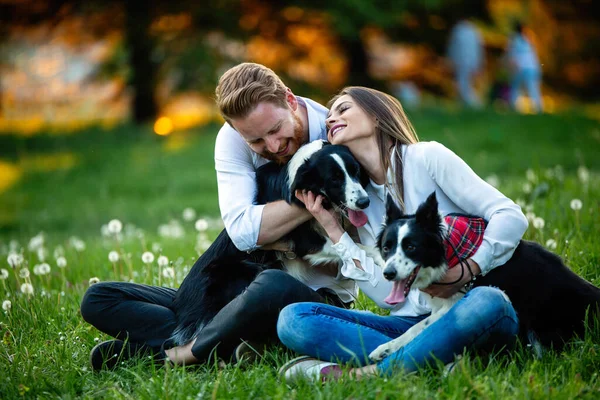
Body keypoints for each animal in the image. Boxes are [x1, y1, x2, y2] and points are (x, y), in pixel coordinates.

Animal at [171, 141, 372, 344]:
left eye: (356, 171)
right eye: (334, 179)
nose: (364, 202)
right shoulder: (305, 242)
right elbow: (355, 246)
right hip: (245, 270)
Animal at [370, 192, 600, 360]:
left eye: (411, 247)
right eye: (386, 248)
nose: (388, 273)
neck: (451, 251)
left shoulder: (453, 303)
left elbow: (419, 326)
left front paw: (386, 347)